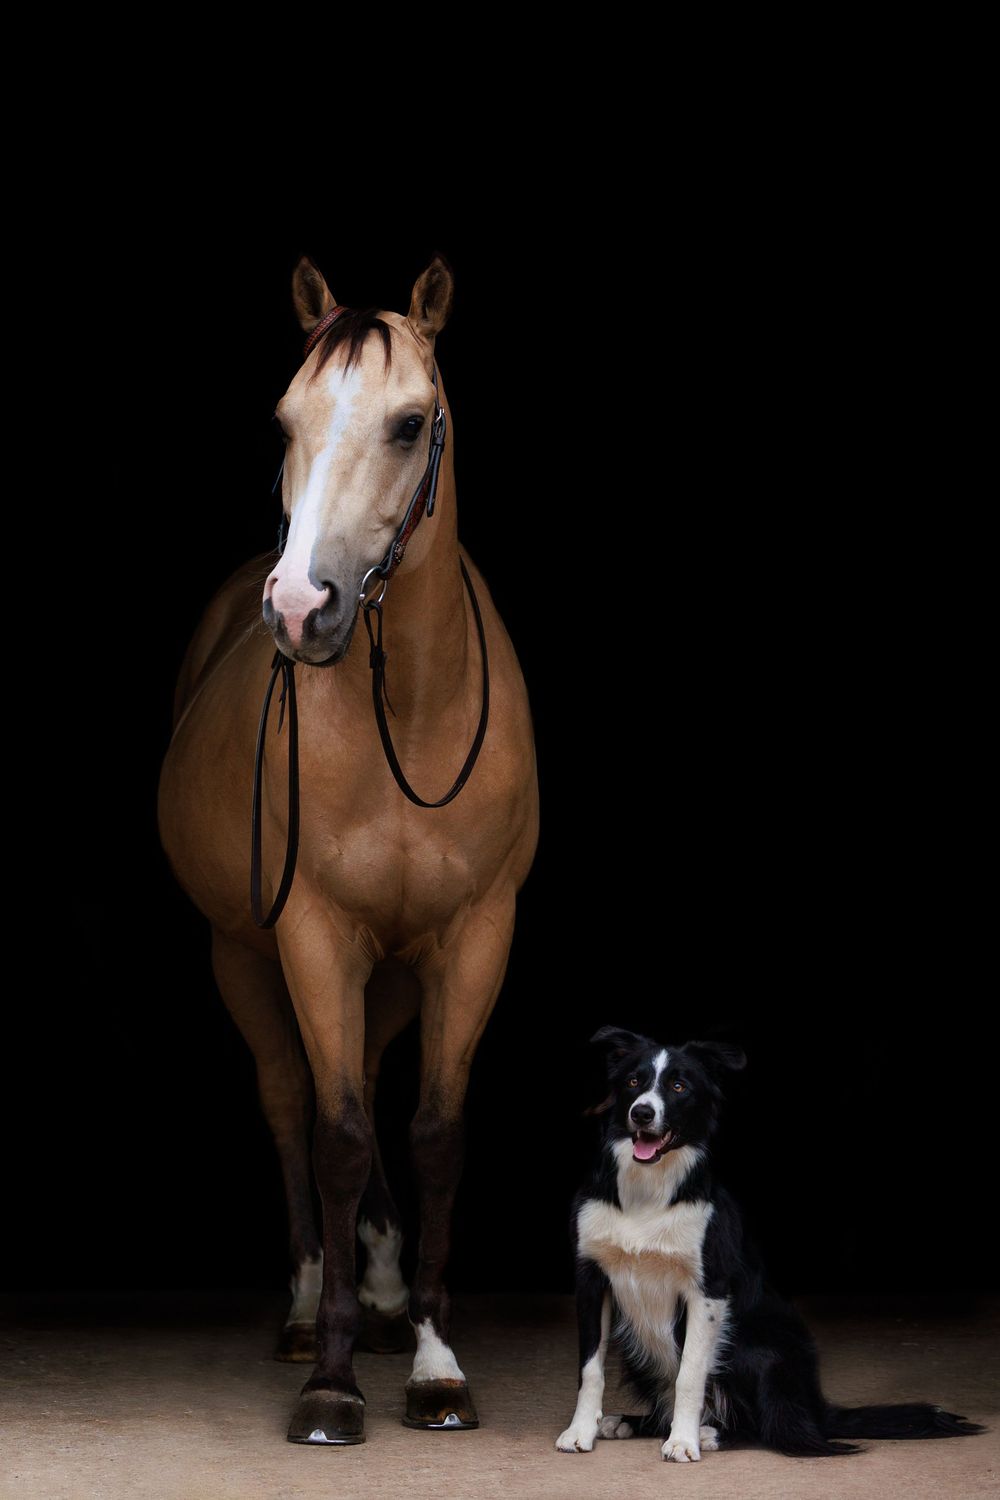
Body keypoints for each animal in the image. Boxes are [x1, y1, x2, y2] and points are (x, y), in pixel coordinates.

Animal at [158, 255, 538, 1445]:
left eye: (411, 423)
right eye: (285, 418)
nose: (298, 607)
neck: (407, 709)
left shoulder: (474, 938)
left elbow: (430, 1134)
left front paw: (432, 1358)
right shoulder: (314, 936)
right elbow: (332, 1135)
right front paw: (329, 1380)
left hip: (395, 968)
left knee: (369, 1084)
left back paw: (371, 1290)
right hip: (245, 957)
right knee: (295, 1104)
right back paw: (306, 1308)